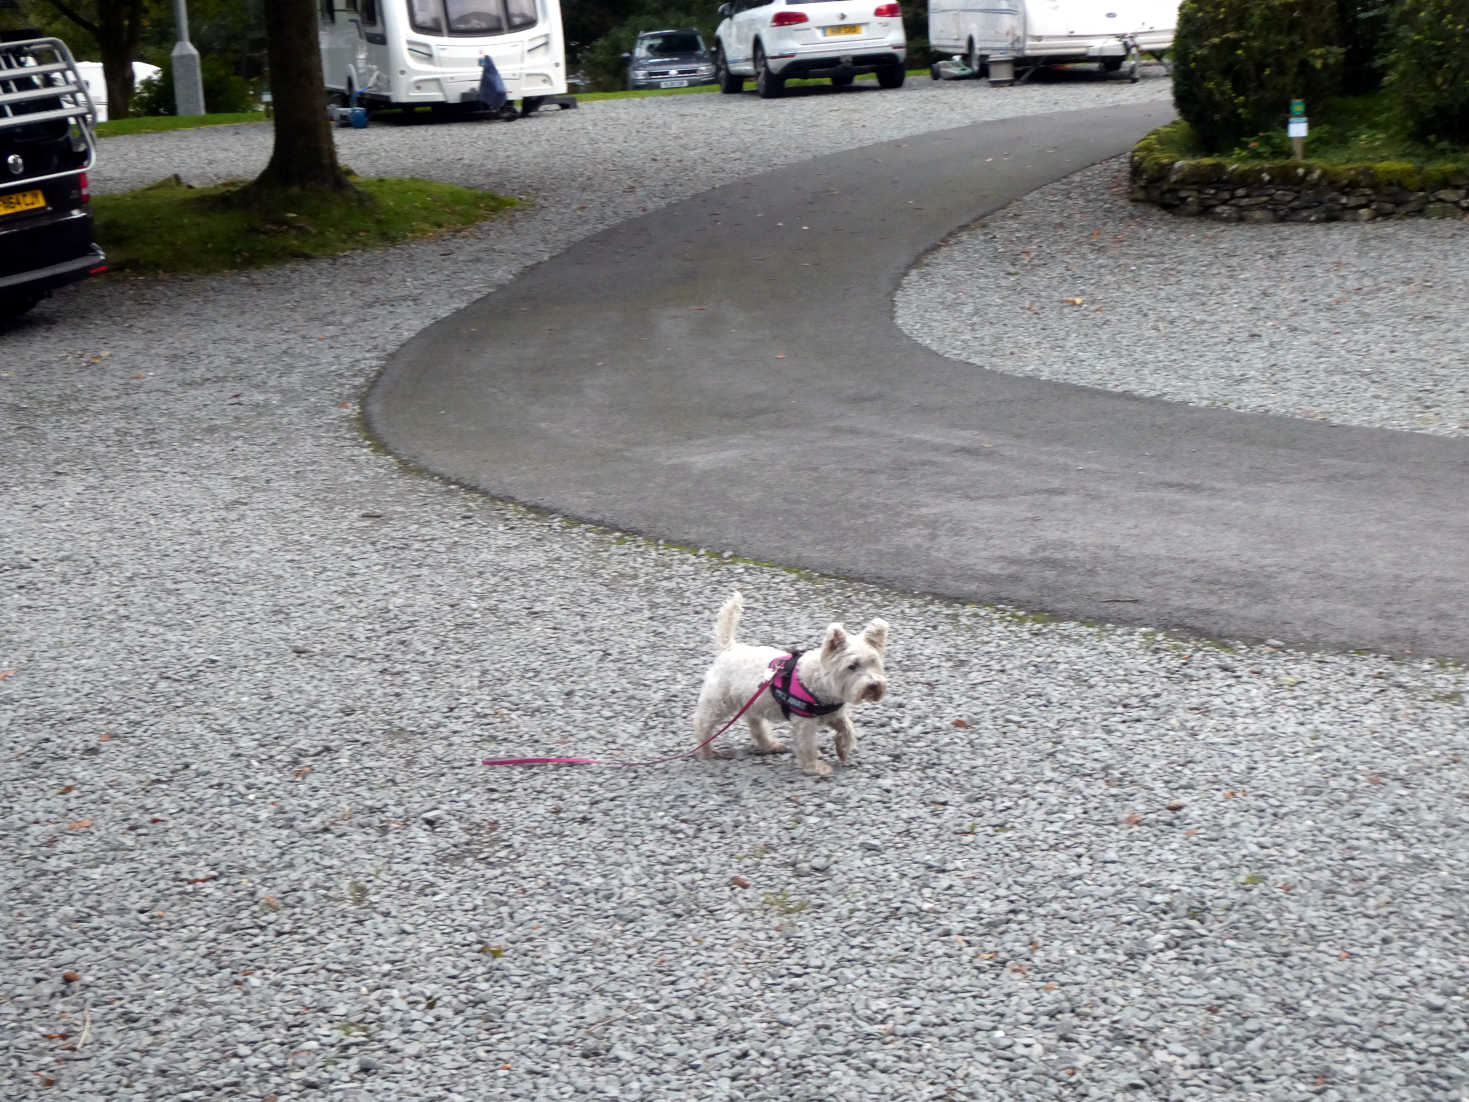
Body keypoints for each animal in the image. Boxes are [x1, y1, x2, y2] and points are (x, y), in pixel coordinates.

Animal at [693, 596, 887, 775]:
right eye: (852, 666)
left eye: (873, 662)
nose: (873, 685)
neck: (822, 681)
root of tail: (729, 649)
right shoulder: (805, 722)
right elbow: (808, 744)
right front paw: (815, 767)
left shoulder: (834, 714)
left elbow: (848, 730)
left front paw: (843, 750)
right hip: (719, 702)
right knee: (703, 725)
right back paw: (707, 751)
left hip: (752, 702)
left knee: (756, 726)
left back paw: (771, 745)